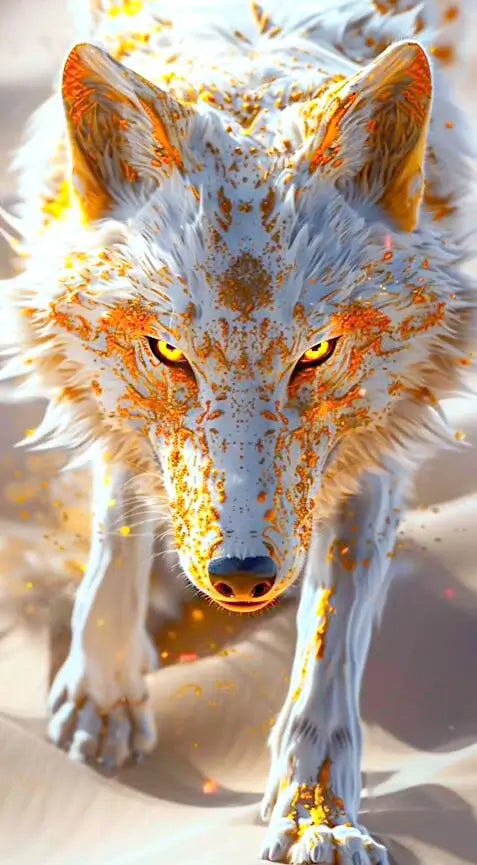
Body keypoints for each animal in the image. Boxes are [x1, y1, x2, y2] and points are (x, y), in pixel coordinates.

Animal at [1, 0, 476, 862]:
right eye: (168, 352)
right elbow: (122, 486)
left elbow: (332, 631)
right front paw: (104, 689)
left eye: (316, 352)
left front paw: (319, 812)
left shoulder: (384, 409)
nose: (244, 575)